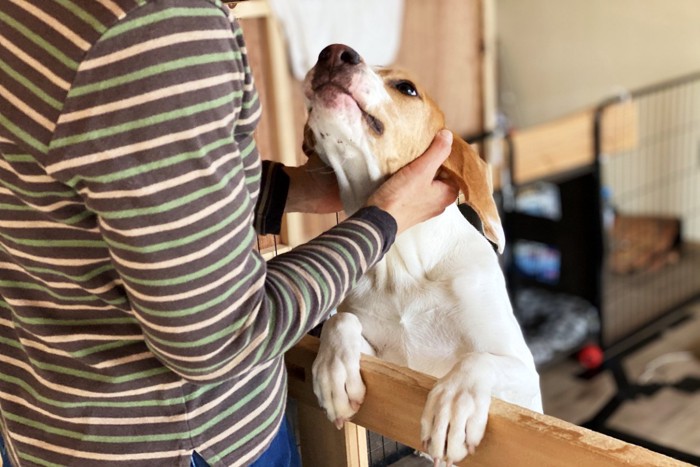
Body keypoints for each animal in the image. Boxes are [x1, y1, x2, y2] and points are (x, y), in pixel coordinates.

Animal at [302, 43, 540, 464]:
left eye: (407, 88)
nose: (333, 52)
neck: (403, 266)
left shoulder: (527, 384)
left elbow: (477, 359)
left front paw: (455, 405)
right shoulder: (386, 364)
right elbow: (340, 321)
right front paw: (333, 372)